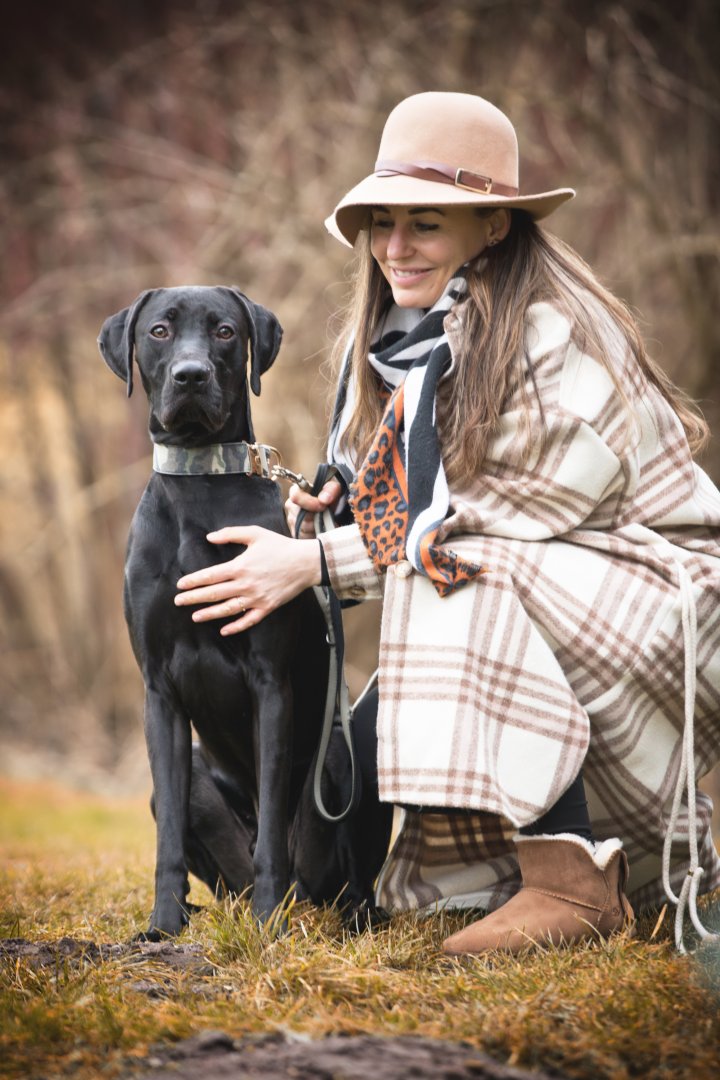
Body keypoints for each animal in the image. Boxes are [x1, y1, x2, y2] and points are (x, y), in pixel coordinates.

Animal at [98, 287, 390, 937]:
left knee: (335, 870)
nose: (190, 375)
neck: (198, 481)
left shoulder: (270, 684)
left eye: (225, 331)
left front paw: (267, 925)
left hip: (335, 767)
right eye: (159, 331)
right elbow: (168, 832)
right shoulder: (159, 693)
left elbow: (273, 829)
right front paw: (163, 923)